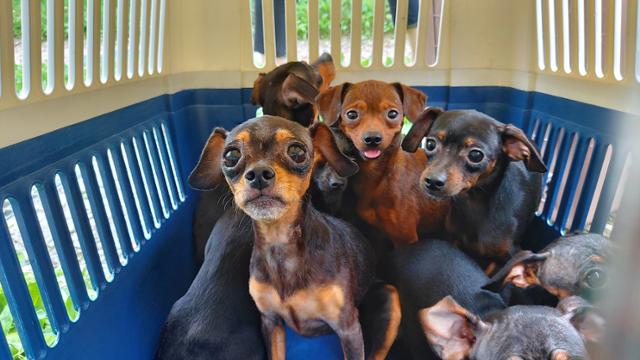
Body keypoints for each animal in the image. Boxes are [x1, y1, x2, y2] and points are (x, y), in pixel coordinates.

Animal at [188, 116, 402, 360]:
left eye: (297, 151)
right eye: (231, 156)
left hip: (389, 299)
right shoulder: (271, 322)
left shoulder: (348, 328)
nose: (259, 174)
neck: (280, 245)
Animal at [402, 108, 548, 262]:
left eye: (476, 155)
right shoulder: (454, 238)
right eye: (430, 144)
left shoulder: (507, 255)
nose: (433, 181)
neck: (474, 202)